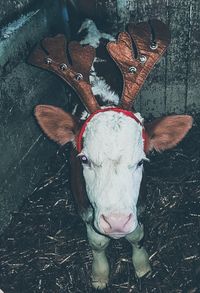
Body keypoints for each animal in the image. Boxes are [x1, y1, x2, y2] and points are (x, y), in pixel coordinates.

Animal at [29, 20, 192, 288]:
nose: (116, 221)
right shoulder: (82, 203)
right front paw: (99, 275)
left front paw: (142, 267)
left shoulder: (139, 202)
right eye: (84, 159)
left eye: (141, 161)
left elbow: (136, 234)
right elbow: (97, 241)